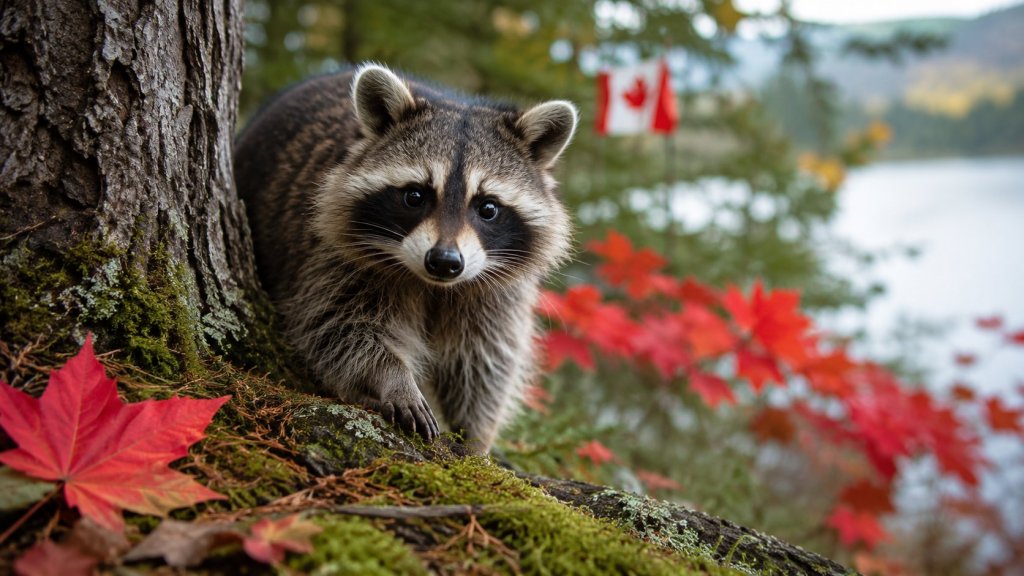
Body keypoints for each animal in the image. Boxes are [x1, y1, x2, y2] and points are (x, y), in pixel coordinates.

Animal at [234, 64, 576, 453]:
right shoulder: (333, 258)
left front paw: (476, 437)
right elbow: (339, 327)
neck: (434, 285)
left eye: (488, 208)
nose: (444, 261)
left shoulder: (497, 293)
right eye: (415, 196)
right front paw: (393, 378)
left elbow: (484, 362)